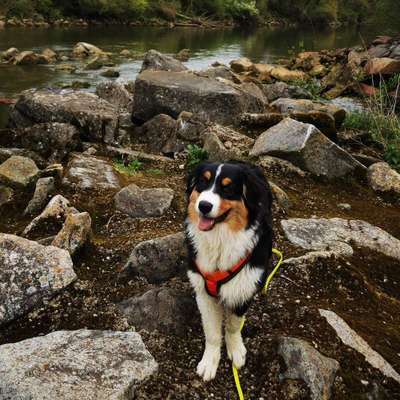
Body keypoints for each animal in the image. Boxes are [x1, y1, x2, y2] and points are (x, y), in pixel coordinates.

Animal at [185, 160, 274, 382]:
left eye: (228, 188)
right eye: (202, 181)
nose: (204, 206)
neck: (221, 239)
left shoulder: (242, 288)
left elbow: (234, 326)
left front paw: (236, 350)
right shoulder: (203, 291)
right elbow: (212, 332)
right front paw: (210, 362)